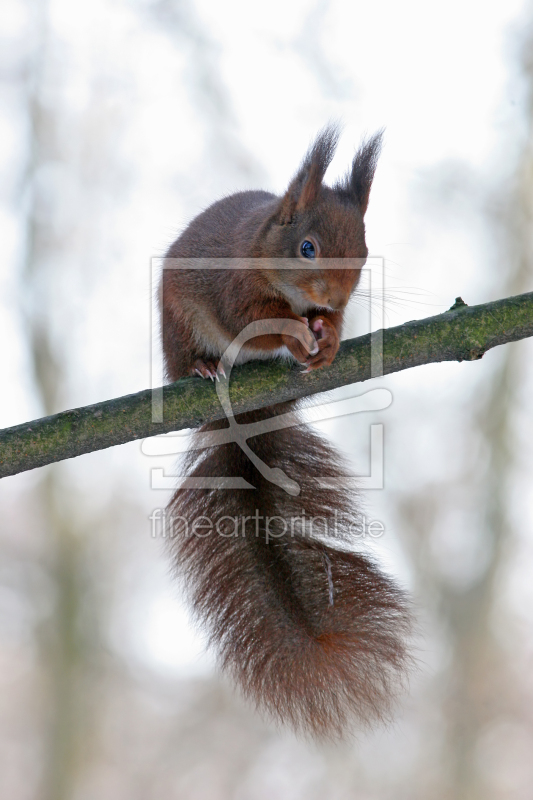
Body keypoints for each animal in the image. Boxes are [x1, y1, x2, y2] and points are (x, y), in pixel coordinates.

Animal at [160, 123, 410, 736]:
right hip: (178, 327)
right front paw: (297, 333)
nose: (334, 298)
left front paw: (331, 336)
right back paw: (204, 367)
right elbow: (254, 321)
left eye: (363, 250)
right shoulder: (236, 291)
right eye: (307, 248)